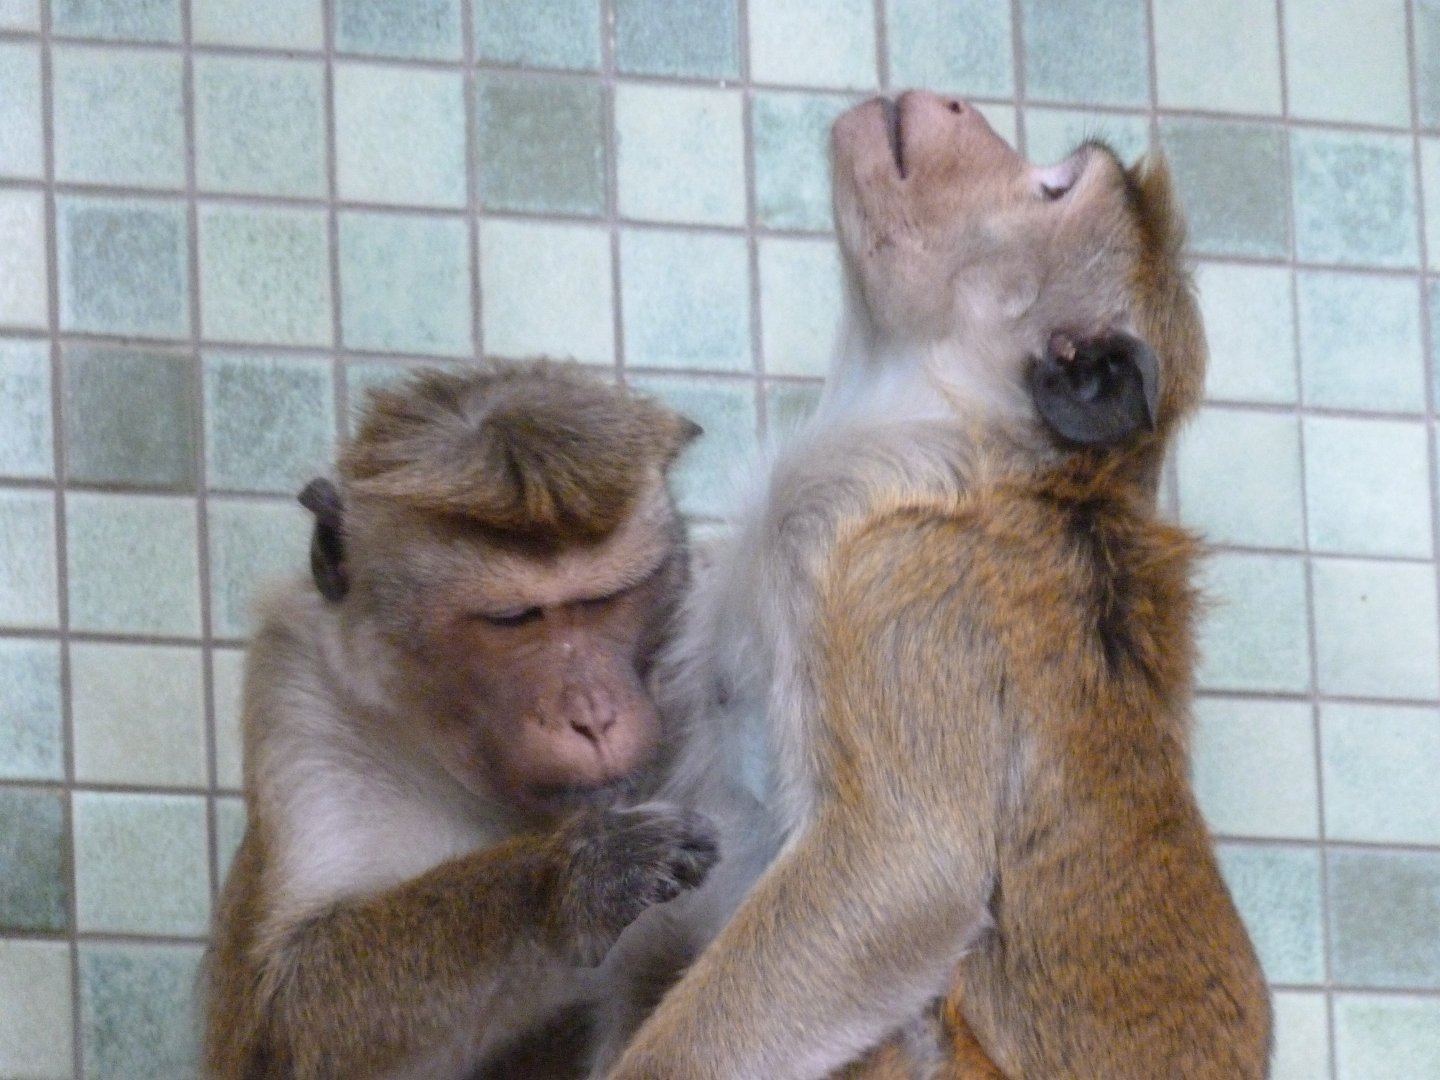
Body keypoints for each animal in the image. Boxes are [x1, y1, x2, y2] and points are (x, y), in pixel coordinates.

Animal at [201, 362, 727, 1080]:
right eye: (513, 620)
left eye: (606, 600)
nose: (592, 716)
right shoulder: (299, 692)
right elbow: (287, 1010)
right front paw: (571, 880)